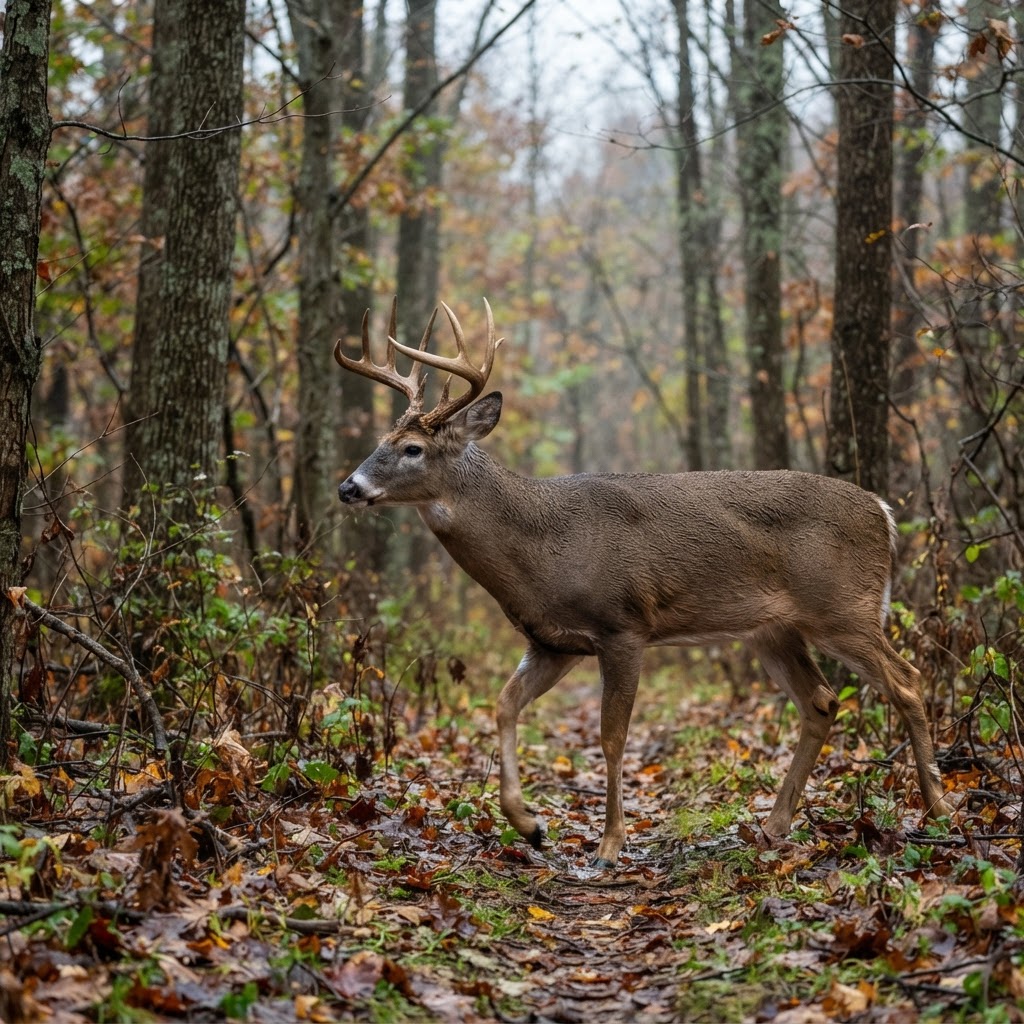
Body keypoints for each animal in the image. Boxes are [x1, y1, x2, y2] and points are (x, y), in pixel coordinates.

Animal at [334, 298, 952, 867]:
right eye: (381, 440)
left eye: (412, 449)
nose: (348, 487)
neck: (542, 547)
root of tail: (883, 512)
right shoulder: (554, 643)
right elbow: (504, 706)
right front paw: (530, 826)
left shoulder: (623, 626)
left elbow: (612, 736)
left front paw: (609, 846)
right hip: (773, 629)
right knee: (821, 702)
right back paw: (774, 826)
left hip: (843, 607)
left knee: (907, 680)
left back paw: (939, 807)